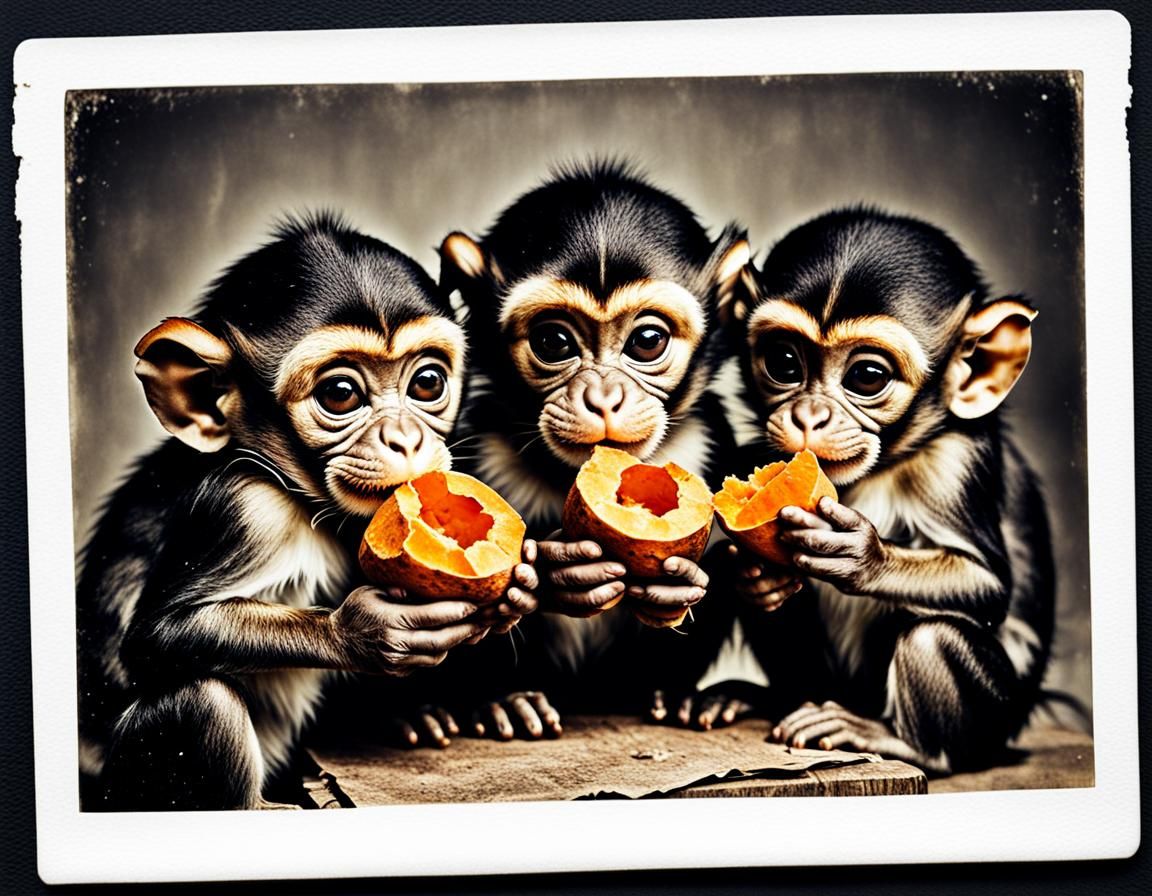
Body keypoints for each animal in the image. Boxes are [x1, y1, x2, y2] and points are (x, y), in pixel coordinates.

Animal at [76, 212, 539, 810]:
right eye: (340, 393)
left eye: (427, 382)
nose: (406, 438)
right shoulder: (245, 511)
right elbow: (160, 636)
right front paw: (366, 632)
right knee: (204, 698)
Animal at [388, 160, 754, 744]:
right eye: (554, 343)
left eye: (647, 340)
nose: (602, 397)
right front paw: (565, 569)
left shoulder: (711, 440)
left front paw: (676, 590)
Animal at [700, 206, 1054, 773]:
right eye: (784, 363)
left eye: (867, 376)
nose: (808, 415)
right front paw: (752, 578)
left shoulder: (955, 464)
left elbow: (986, 582)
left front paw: (862, 555)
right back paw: (756, 696)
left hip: (990, 726)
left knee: (934, 636)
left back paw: (900, 742)